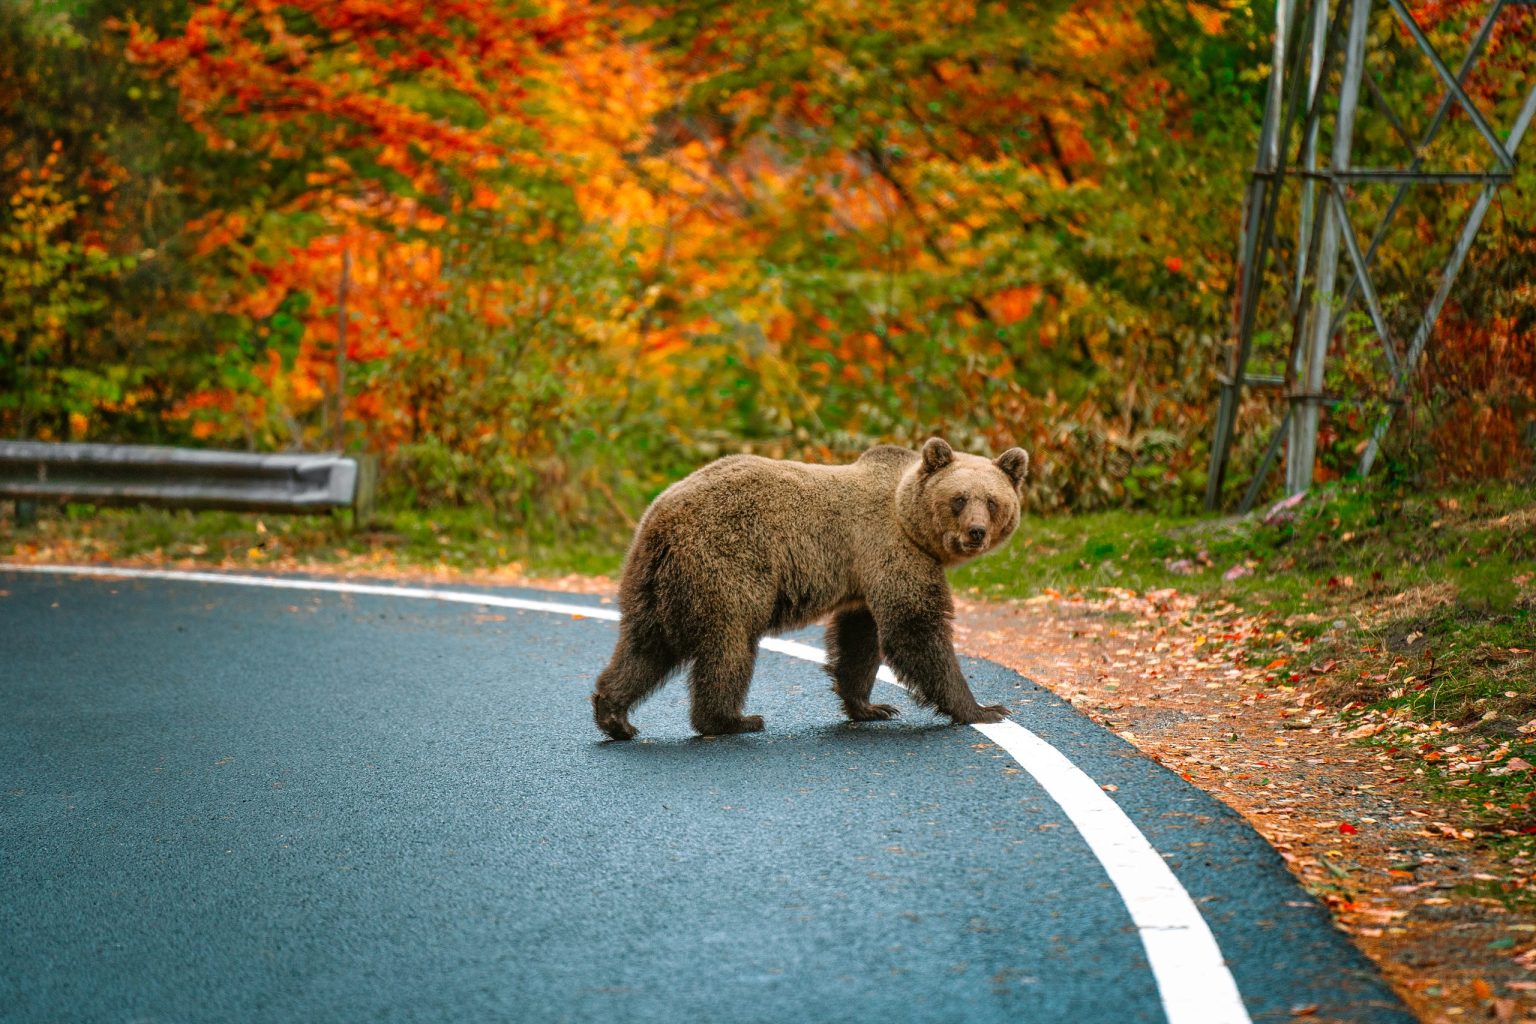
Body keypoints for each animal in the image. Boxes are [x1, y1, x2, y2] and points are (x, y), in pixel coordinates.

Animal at [590, 437, 1030, 740]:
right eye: (959, 498)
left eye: (992, 501)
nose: (976, 532)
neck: (908, 518)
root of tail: (660, 517)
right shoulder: (888, 548)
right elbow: (915, 627)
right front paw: (984, 708)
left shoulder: (861, 577)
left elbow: (860, 640)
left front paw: (870, 706)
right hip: (725, 567)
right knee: (729, 647)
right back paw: (733, 719)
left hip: (651, 582)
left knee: (644, 648)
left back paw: (614, 715)